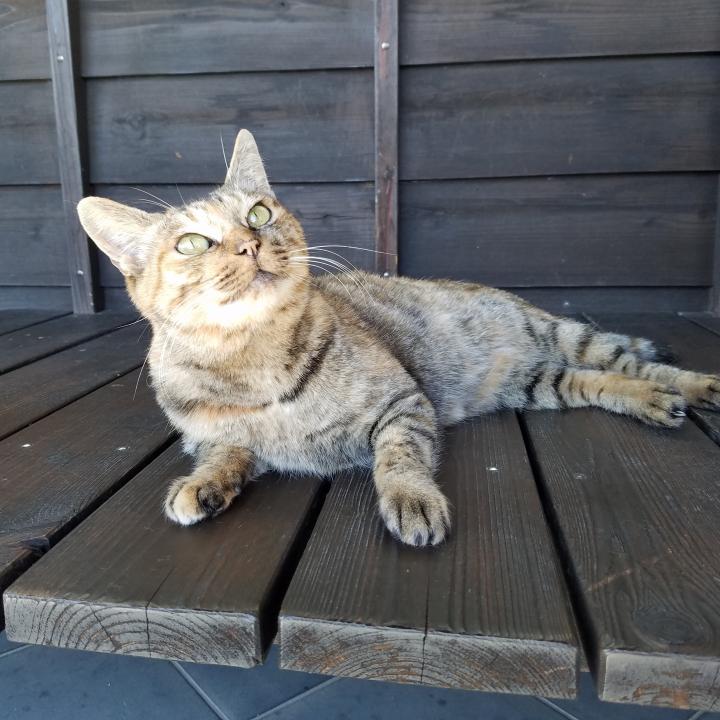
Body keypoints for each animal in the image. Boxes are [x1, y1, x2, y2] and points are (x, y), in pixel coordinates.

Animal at [77, 129, 720, 547]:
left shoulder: (404, 403)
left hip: (558, 334)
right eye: (192, 243)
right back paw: (653, 402)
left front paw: (411, 498)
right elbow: (224, 451)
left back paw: (693, 386)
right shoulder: (208, 436)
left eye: (259, 214)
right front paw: (203, 485)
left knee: (632, 360)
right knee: (594, 381)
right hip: (536, 382)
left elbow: (400, 457)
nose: (249, 243)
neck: (253, 361)